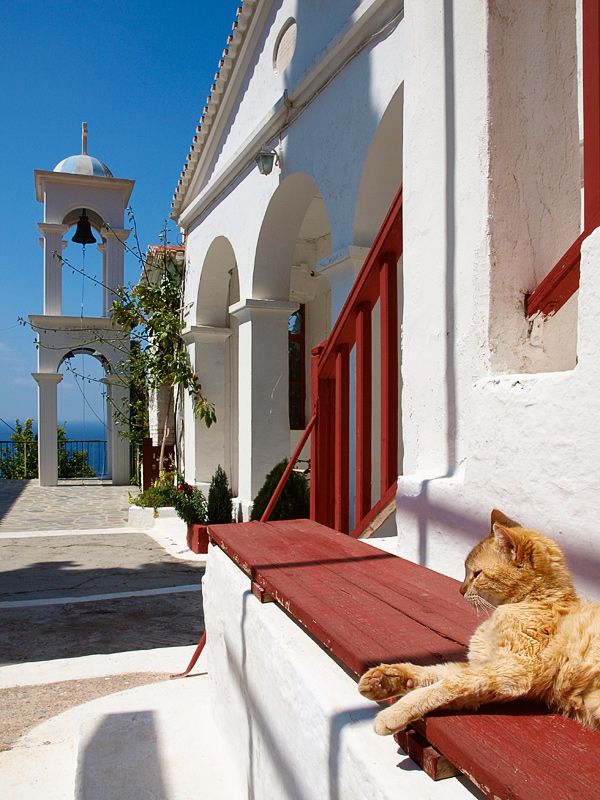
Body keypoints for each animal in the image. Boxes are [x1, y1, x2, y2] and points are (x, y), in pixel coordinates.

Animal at [356, 510, 600, 736]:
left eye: (477, 573)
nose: (460, 590)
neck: (534, 601)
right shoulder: (486, 668)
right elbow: (436, 672)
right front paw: (387, 679)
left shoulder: (514, 668)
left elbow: (446, 684)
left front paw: (395, 711)